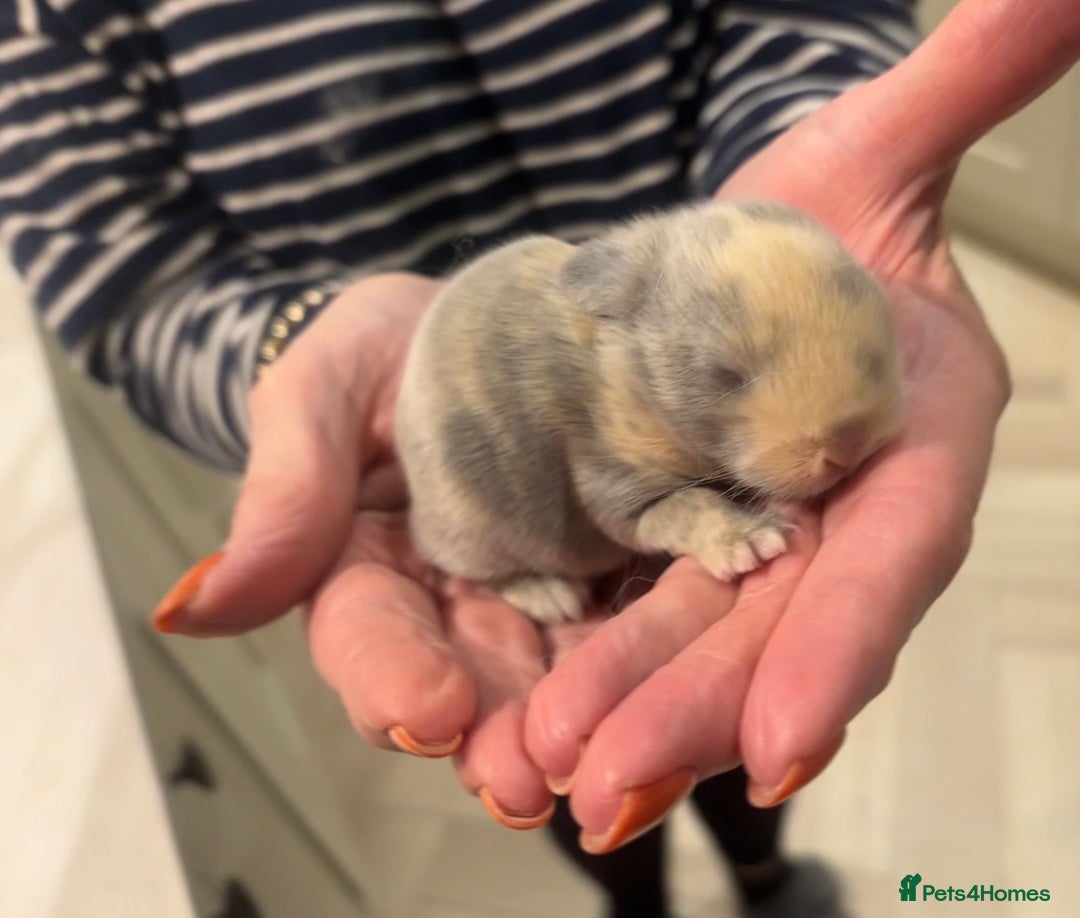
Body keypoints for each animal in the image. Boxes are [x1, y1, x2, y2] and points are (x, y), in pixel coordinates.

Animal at [394, 200, 904, 623]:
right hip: (472, 528)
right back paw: (551, 598)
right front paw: (754, 544)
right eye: (724, 375)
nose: (849, 448)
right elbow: (686, 505)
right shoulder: (614, 472)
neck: (631, 377)